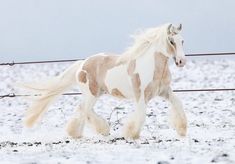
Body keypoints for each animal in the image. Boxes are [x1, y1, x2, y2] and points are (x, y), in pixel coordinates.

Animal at [21, 23, 187, 139]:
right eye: (171, 41)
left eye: (182, 41)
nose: (181, 61)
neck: (152, 67)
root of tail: (82, 64)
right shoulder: (140, 95)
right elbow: (141, 115)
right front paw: (131, 134)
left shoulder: (164, 92)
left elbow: (178, 104)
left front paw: (182, 130)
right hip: (92, 93)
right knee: (85, 110)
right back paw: (102, 130)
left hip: (95, 93)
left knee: (81, 109)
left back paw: (76, 133)